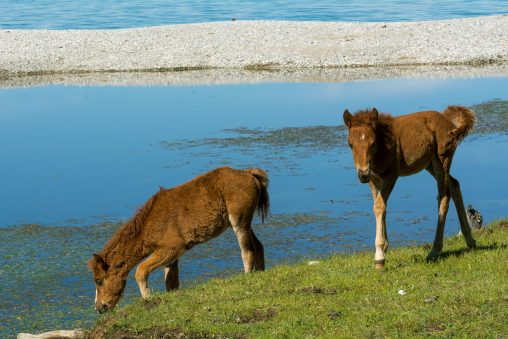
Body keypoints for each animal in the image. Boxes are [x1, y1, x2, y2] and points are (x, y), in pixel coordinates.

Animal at [88, 167, 270, 314]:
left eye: (99, 280)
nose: (99, 308)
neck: (151, 221)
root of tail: (249, 173)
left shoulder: (171, 248)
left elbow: (141, 270)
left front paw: (147, 299)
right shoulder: (171, 256)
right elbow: (171, 281)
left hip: (238, 222)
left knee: (247, 251)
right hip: (244, 224)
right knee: (259, 246)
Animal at [344, 107, 478, 270]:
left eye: (373, 143)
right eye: (350, 144)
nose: (363, 174)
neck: (383, 146)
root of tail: (449, 122)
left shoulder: (392, 175)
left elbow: (379, 206)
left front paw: (379, 257)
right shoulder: (374, 179)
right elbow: (381, 207)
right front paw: (384, 249)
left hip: (442, 160)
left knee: (443, 197)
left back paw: (434, 251)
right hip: (429, 164)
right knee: (454, 184)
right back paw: (470, 241)